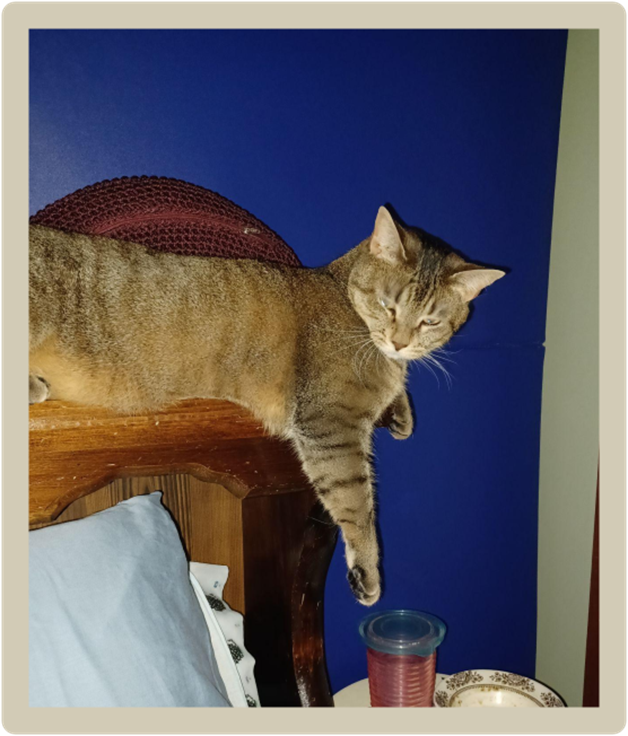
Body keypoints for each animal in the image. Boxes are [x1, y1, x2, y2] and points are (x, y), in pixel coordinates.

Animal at [29, 206, 502, 604]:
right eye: (388, 305)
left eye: (430, 320)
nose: (400, 342)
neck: (342, 291)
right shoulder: (331, 427)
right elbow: (357, 506)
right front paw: (368, 571)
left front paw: (402, 410)